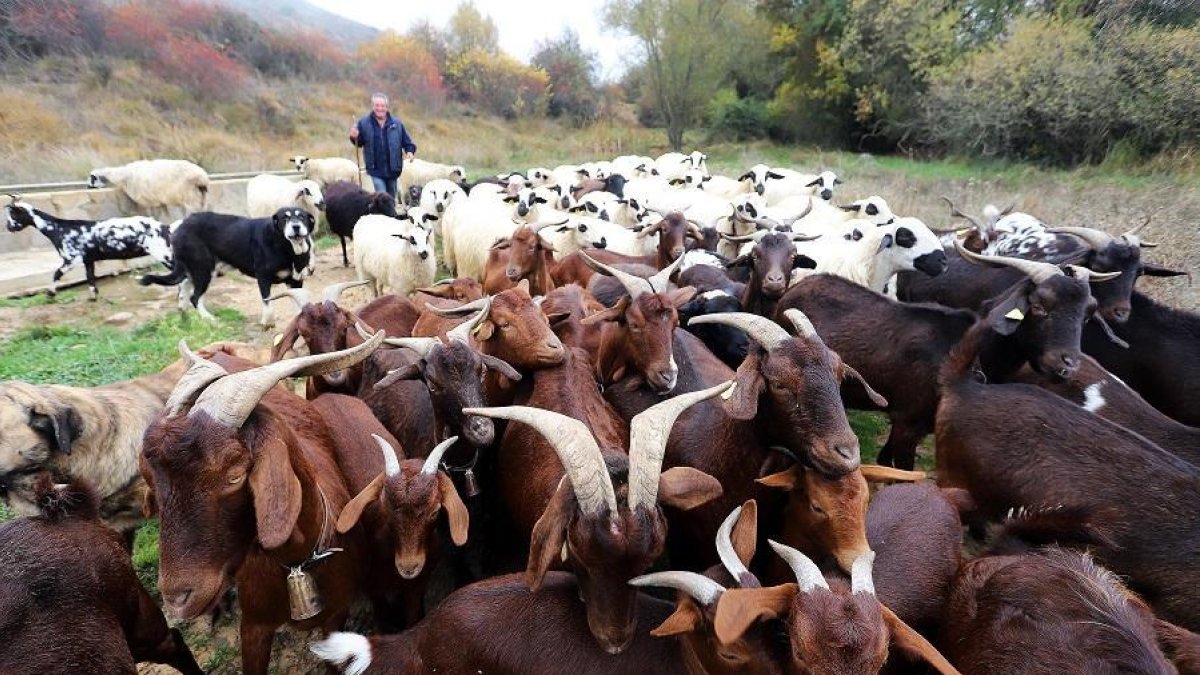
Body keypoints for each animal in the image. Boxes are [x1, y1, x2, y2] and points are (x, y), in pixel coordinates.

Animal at [6, 197, 173, 300]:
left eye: (13, 215)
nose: (8, 227)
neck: (59, 229)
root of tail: (164, 227)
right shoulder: (88, 260)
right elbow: (90, 278)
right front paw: (93, 297)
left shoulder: (72, 259)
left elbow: (56, 274)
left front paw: (50, 293)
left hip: (164, 254)